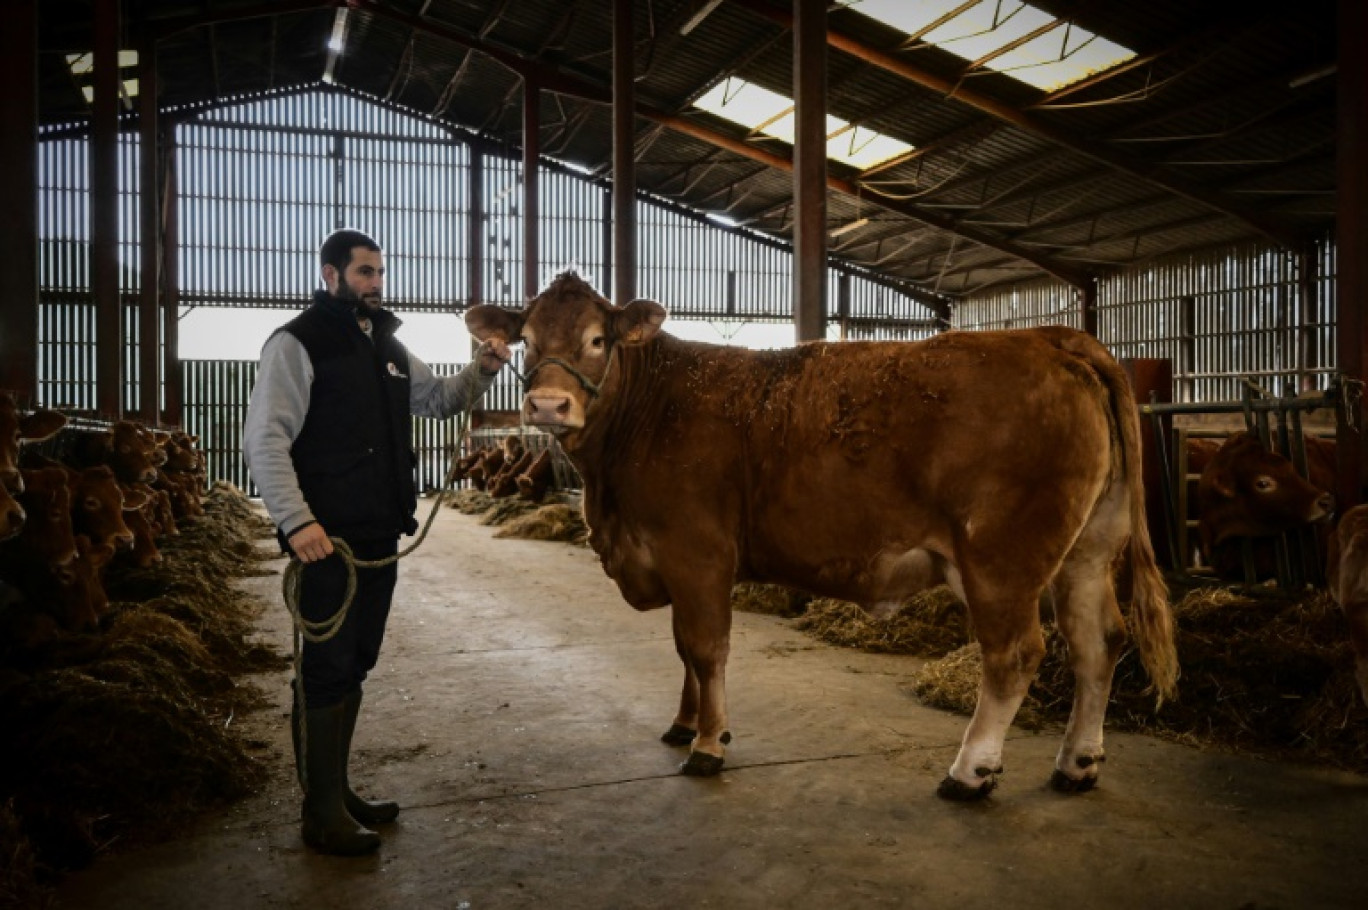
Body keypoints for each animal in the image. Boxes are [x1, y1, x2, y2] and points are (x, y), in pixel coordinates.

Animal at [470, 273, 1176, 799]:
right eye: (525, 339)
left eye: (597, 338)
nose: (548, 406)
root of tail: (1053, 338)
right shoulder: (673, 558)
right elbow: (682, 650)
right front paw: (684, 722)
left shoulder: (696, 551)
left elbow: (705, 648)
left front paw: (708, 743)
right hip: (1086, 552)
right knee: (1098, 644)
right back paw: (1076, 763)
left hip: (1002, 560)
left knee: (1016, 654)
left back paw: (970, 772)